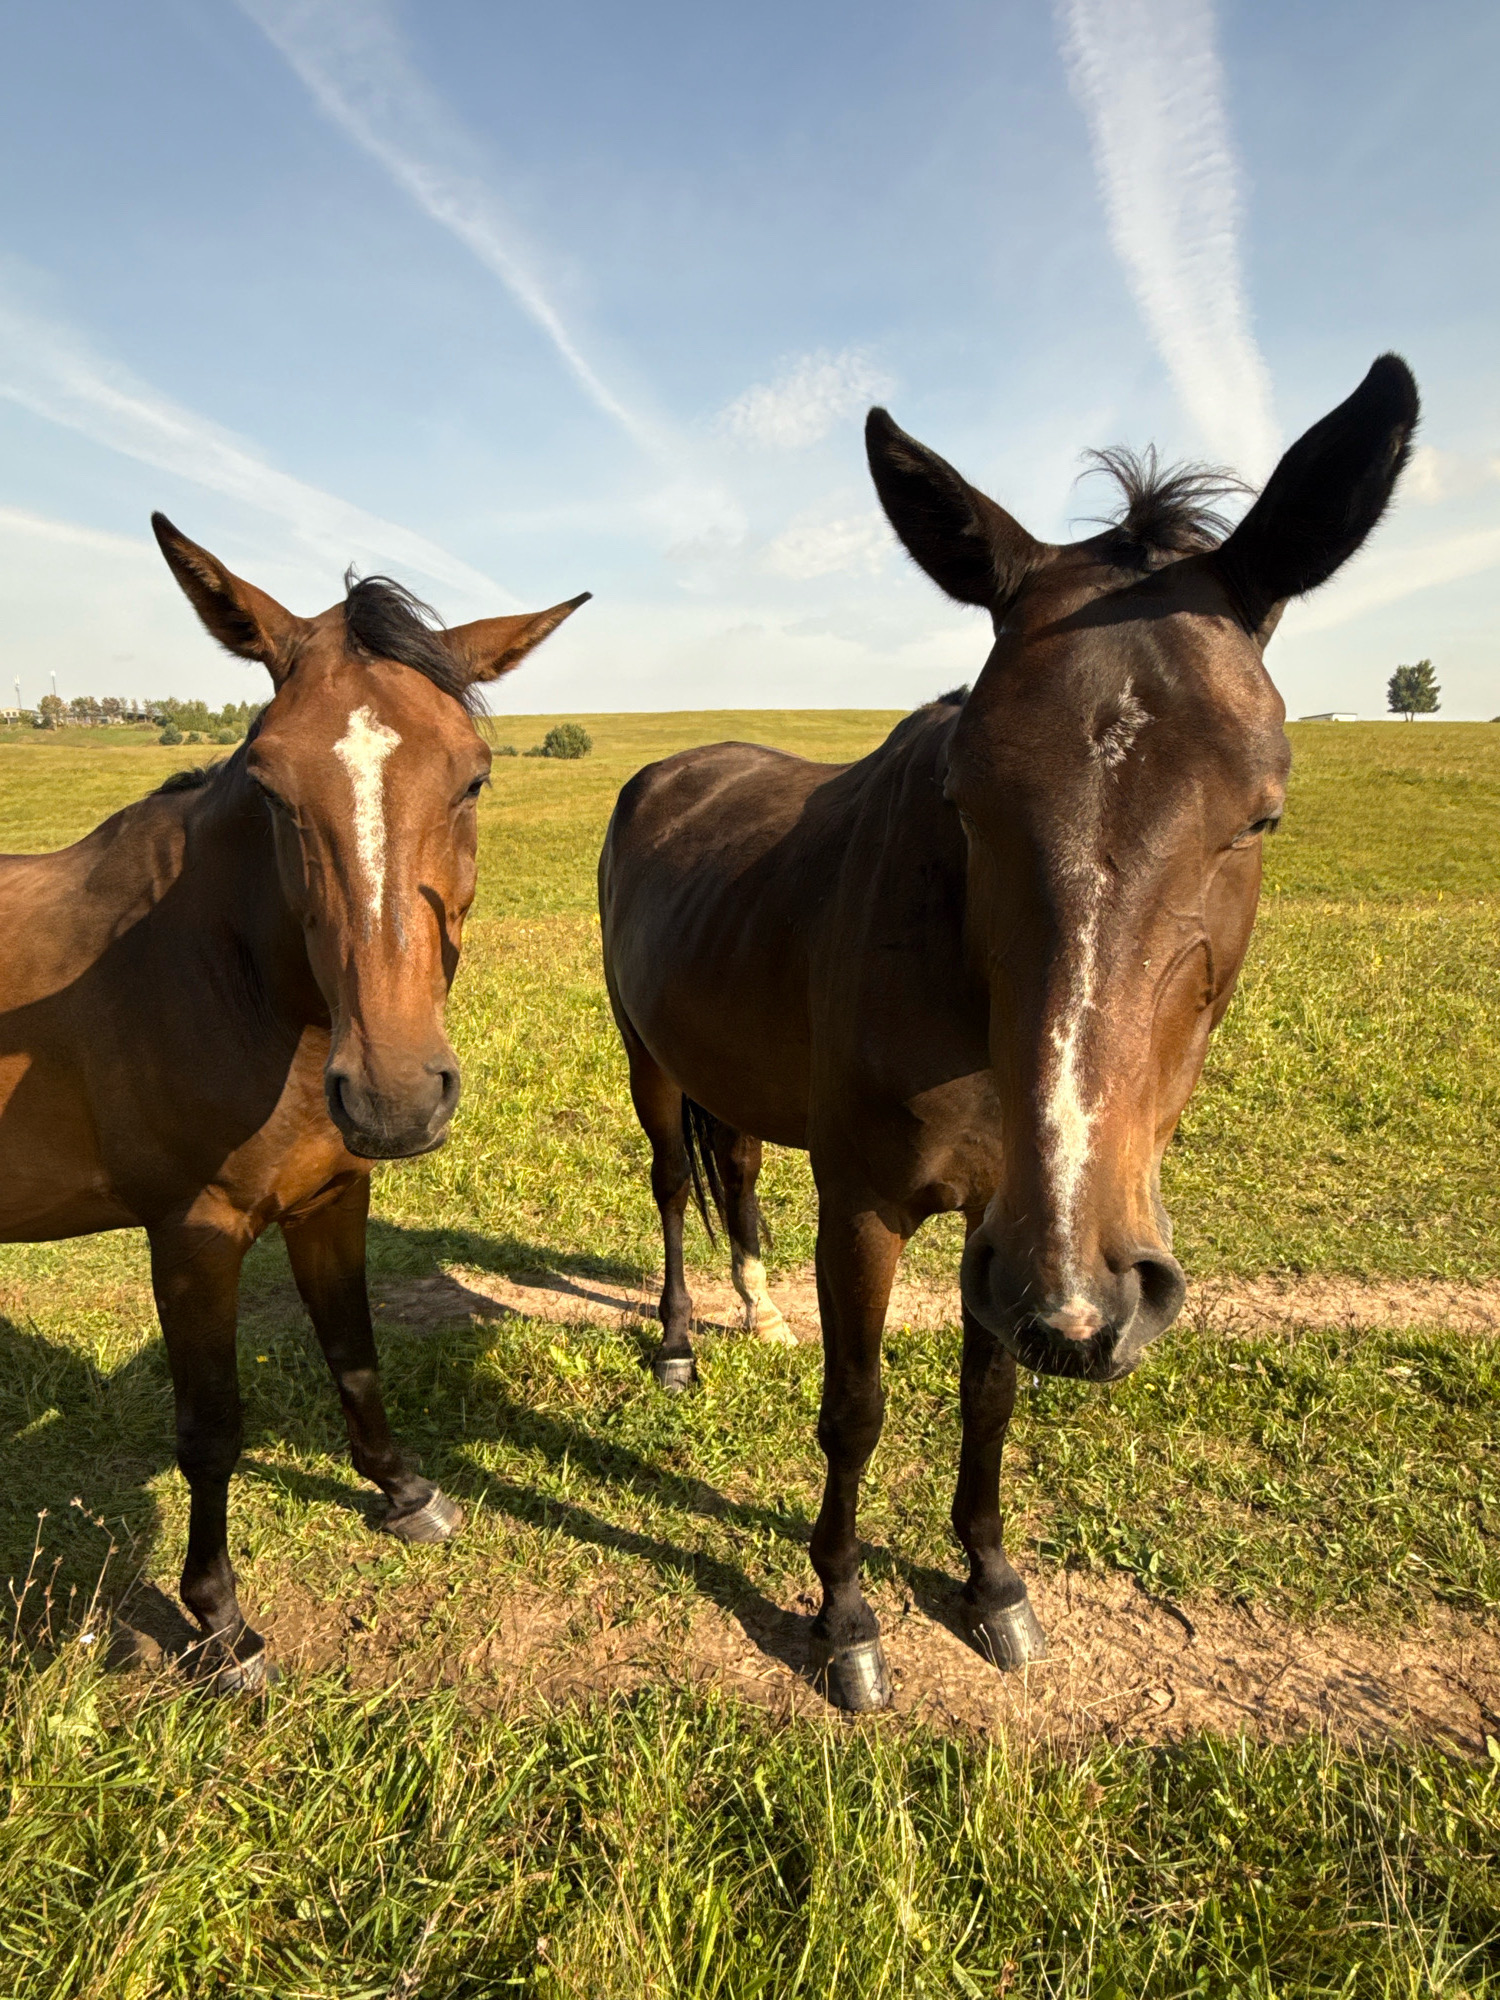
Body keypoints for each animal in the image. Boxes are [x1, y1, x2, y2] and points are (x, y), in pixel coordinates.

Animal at [0, 517, 587, 1687]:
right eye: (271, 786)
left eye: (474, 779)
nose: (395, 1094)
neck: (228, 978)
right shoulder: (194, 1232)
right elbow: (210, 1429)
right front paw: (219, 1623)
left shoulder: (331, 1195)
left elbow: (353, 1350)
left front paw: (405, 1491)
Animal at [599, 356, 1418, 1711]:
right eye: (965, 799)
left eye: (1261, 814)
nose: (1092, 1295)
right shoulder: (866, 1206)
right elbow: (858, 1404)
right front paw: (844, 1613)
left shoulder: (1009, 1220)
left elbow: (988, 1396)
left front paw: (990, 1582)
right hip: (650, 1061)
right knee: (673, 1183)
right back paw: (675, 1344)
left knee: (740, 1170)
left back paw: (755, 1307)